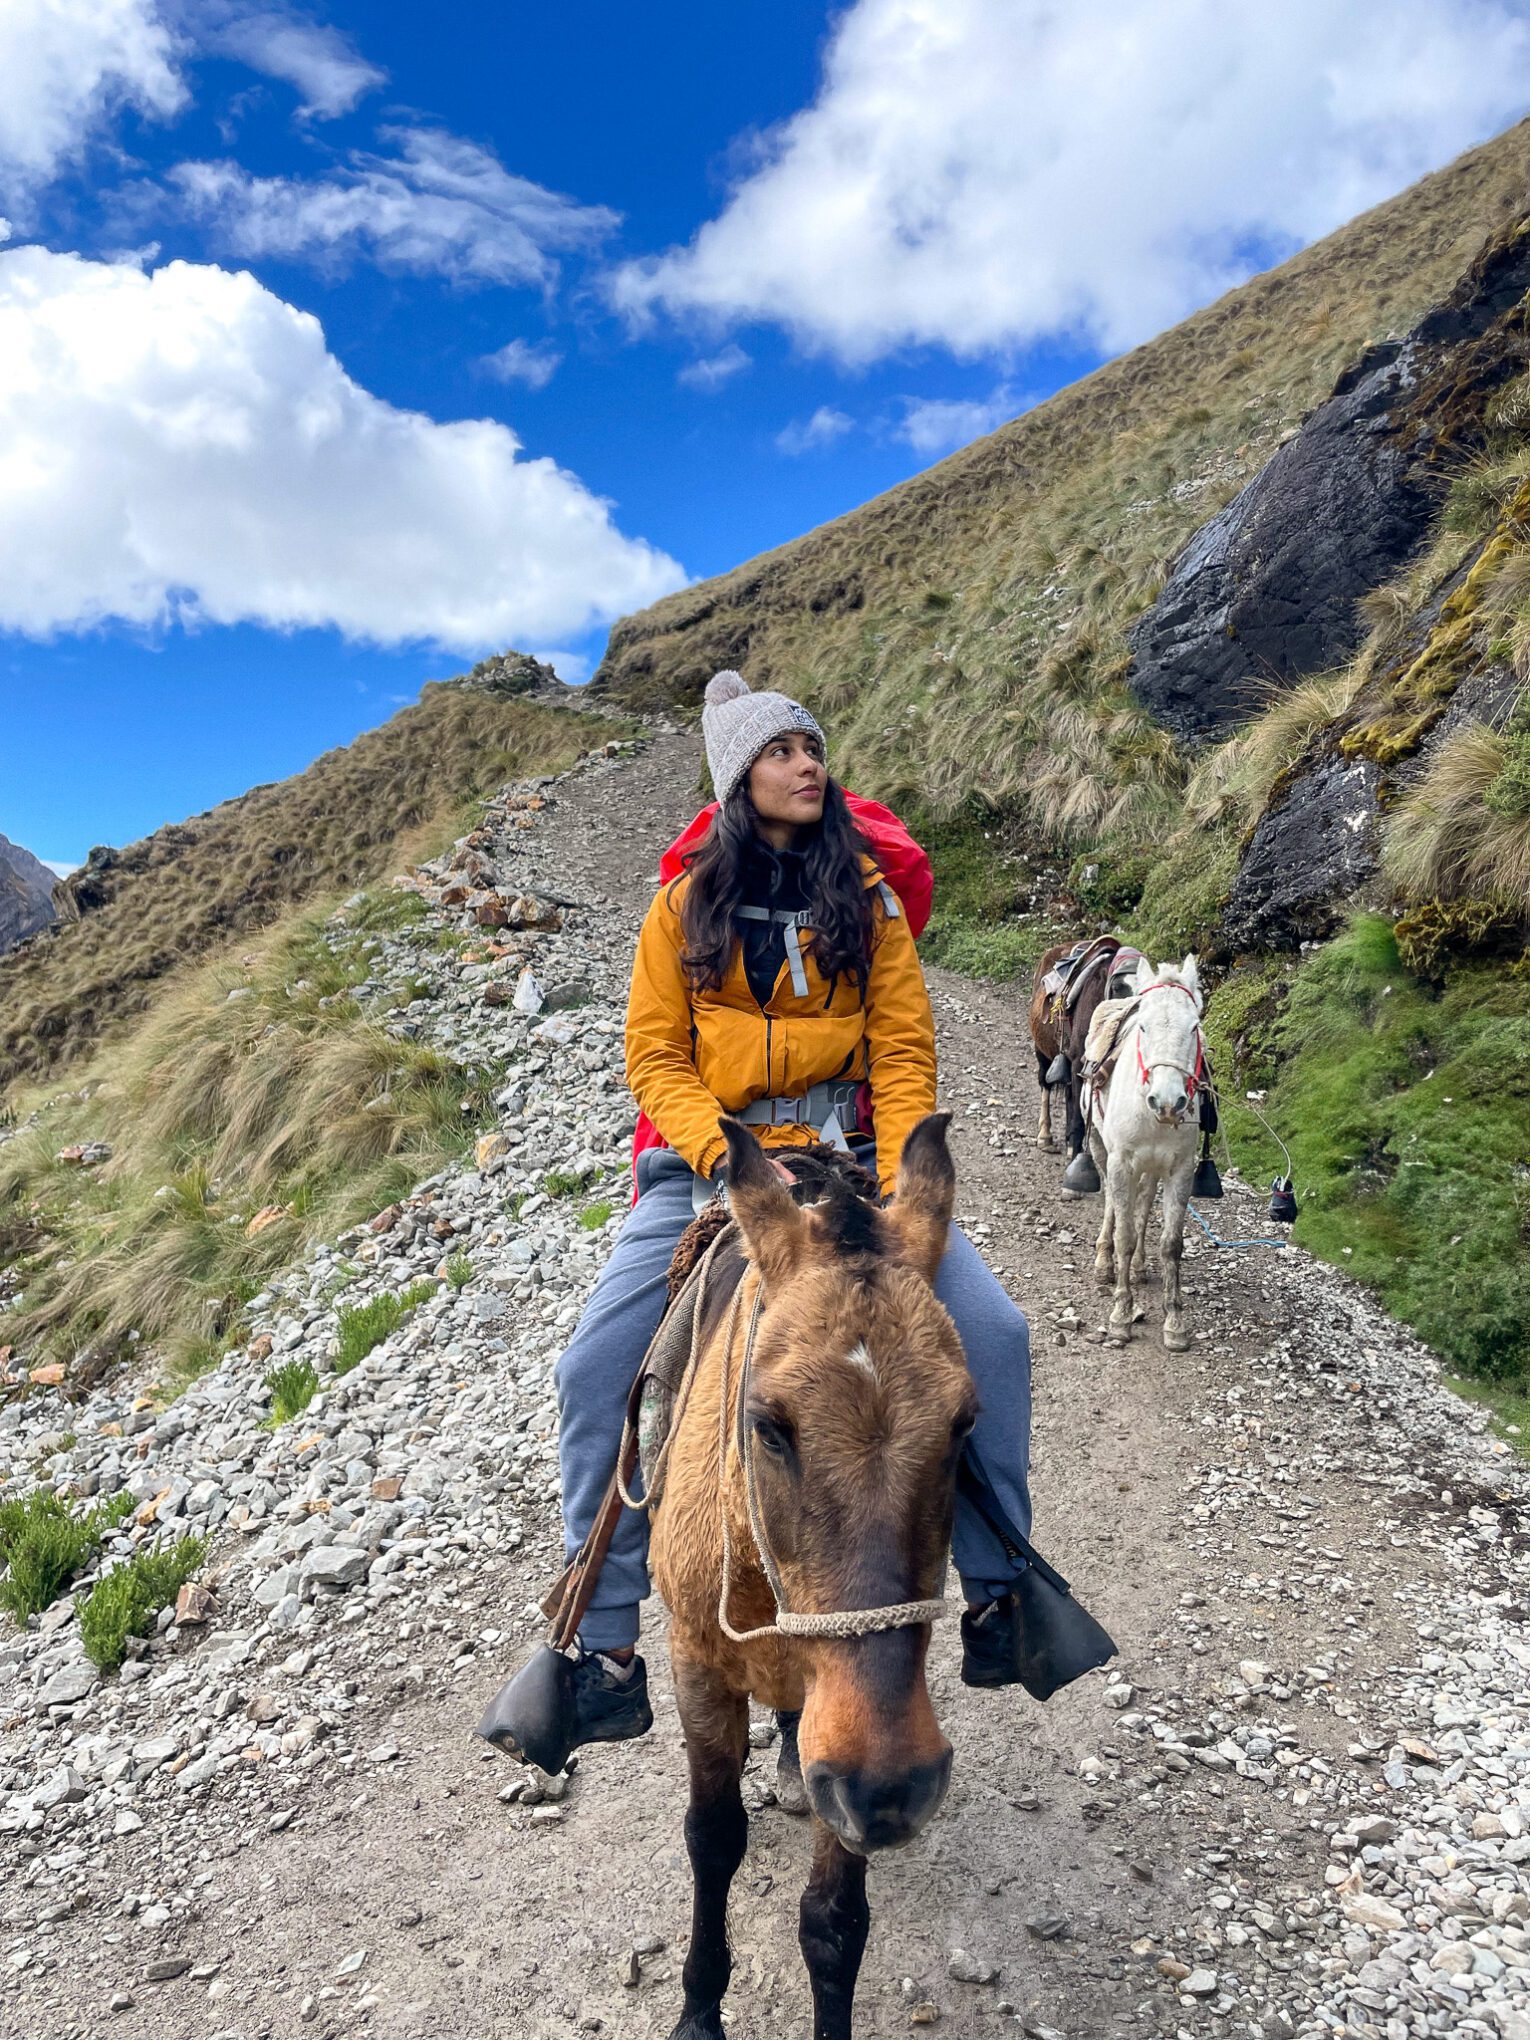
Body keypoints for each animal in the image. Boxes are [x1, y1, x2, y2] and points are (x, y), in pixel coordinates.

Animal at [648, 1117, 971, 2040]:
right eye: (768, 1425)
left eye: (966, 1423)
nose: (892, 1790)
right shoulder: (695, 1663)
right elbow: (712, 1837)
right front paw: (699, 2009)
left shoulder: (854, 1741)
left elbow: (833, 1920)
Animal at [1093, 958, 1207, 1354]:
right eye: (1143, 1025)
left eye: (1195, 1026)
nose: (1168, 1102)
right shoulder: (1120, 1162)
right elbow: (1124, 1236)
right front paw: (1120, 1317)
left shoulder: (1180, 1170)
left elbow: (1171, 1245)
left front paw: (1175, 1323)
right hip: (1103, 1152)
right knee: (1112, 1207)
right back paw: (1104, 1261)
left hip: (1152, 1170)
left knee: (1142, 1207)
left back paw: (1141, 1267)